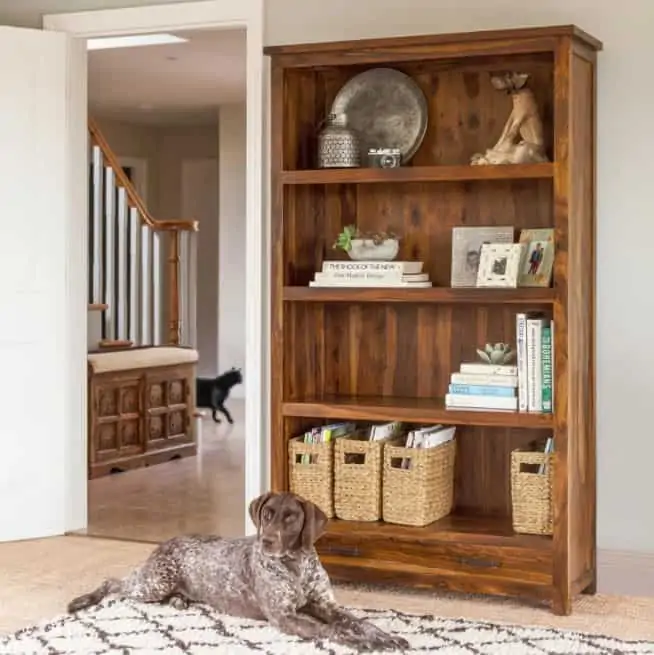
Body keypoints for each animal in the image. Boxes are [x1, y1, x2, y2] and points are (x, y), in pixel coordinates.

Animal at [68, 492, 410, 652]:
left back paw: (180, 601)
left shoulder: (326, 605)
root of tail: (167, 541)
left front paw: (385, 636)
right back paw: (83, 600)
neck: (295, 565)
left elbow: (360, 622)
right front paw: (364, 643)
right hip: (153, 583)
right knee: (114, 582)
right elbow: (333, 631)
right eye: (267, 514)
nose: (267, 540)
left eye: (291, 518)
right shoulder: (285, 617)